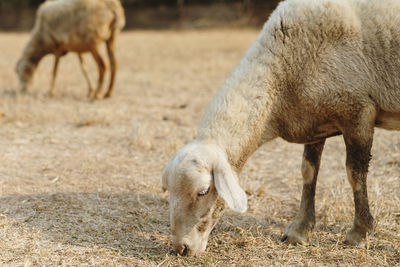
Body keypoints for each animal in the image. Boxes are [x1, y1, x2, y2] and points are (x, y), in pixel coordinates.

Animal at [161, 0, 400, 258]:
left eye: (203, 191)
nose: (181, 248)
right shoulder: (313, 120)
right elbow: (308, 172)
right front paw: (299, 230)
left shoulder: (359, 111)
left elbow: (354, 174)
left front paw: (360, 234)